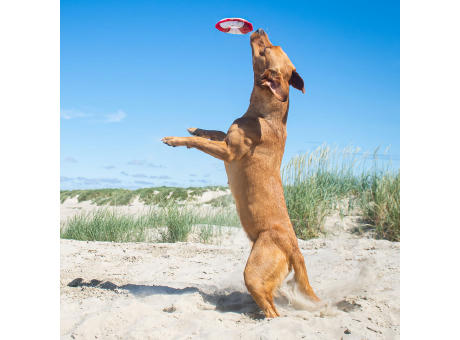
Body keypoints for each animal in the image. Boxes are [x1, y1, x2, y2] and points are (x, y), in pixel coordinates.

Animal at [163, 27, 320, 318]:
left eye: (266, 49)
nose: (259, 28)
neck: (265, 114)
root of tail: (295, 248)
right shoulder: (225, 138)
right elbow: (211, 132)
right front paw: (195, 127)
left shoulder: (228, 152)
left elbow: (199, 142)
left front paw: (175, 139)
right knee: (274, 295)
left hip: (254, 271)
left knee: (272, 309)